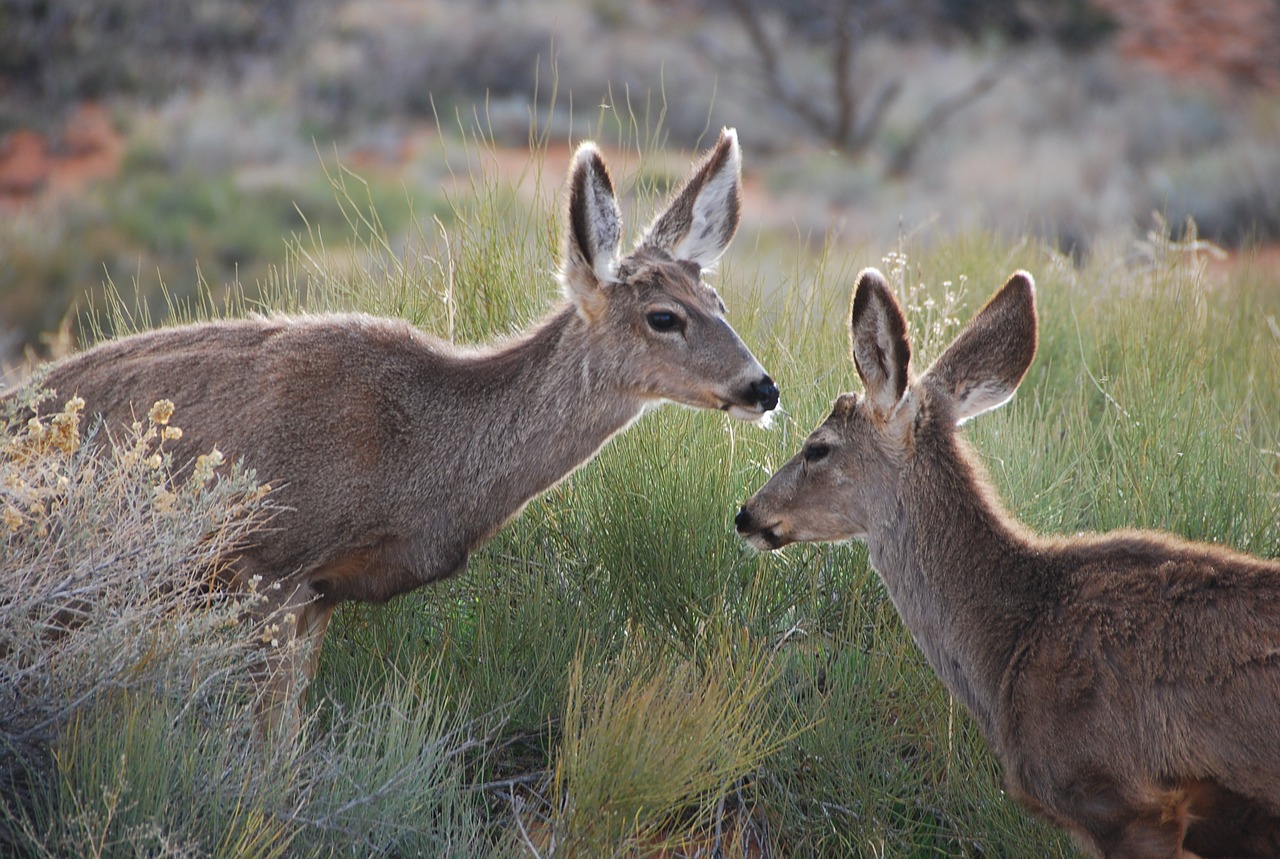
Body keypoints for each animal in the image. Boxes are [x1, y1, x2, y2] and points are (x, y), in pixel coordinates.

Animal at [7, 131, 778, 737]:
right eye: (662, 317)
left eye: (718, 299)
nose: (762, 387)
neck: (411, 455)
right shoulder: (270, 565)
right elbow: (264, 751)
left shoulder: (320, 593)